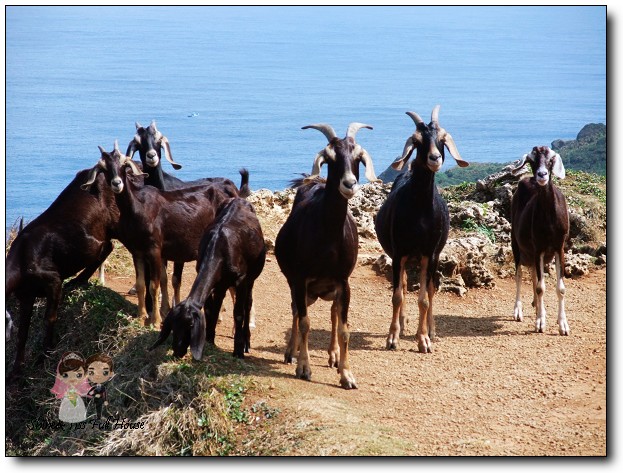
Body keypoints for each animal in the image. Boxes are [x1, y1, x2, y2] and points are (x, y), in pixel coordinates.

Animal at [83, 143, 239, 328]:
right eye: (105, 169)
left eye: (123, 166)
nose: (117, 183)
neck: (138, 208)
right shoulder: (137, 251)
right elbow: (141, 284)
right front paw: (141, 316)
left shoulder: (154, 250)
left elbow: (154, 285)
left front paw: (156, 320)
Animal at [154, 197, 268, 360]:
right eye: (173, 326)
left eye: (190, 325)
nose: (177, 351)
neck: (219, 248)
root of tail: (239, 199)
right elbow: (209, 309)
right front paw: (209, 339)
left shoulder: (241, 280)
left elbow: (239, 313)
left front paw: (238, 350)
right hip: (221, 283)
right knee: (219, 301)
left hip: (251, 277)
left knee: (248, 303)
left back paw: (246, 341)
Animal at [274, 121, 378, 388]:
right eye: (330, 158)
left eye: (357, 158)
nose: (349, 184)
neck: (329, 239)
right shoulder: (300, 280)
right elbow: (304, 322)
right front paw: (303, 367)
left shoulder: (343, 281)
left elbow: (344, 328)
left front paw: (347, 374)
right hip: (297, 285)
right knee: (296, 310)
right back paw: (291, 352)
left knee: (332, 313)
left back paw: (333, 356)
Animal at [376, 105, 468, 352]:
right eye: (417, 142)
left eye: (442, 140)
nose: (434, 158)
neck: (420, 212)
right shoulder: (399, 253)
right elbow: (397, 295)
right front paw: (393, 337)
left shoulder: (430, 254)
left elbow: (425, 298)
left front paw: (424, 339)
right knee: (404, 284)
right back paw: (402, 324)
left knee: (432, 290)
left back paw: (431, 330)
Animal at [512, 146, 572, 334]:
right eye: (532, 161)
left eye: (551, 160)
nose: (542, 175)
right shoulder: (538, 246)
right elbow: (540, 288)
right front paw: (540, 323)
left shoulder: (559, 247)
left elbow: (560, 288)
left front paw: (563, 325)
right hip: (516, 243)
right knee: (519, 274)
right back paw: (519, 310)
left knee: (532, 274)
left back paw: (537, 307)